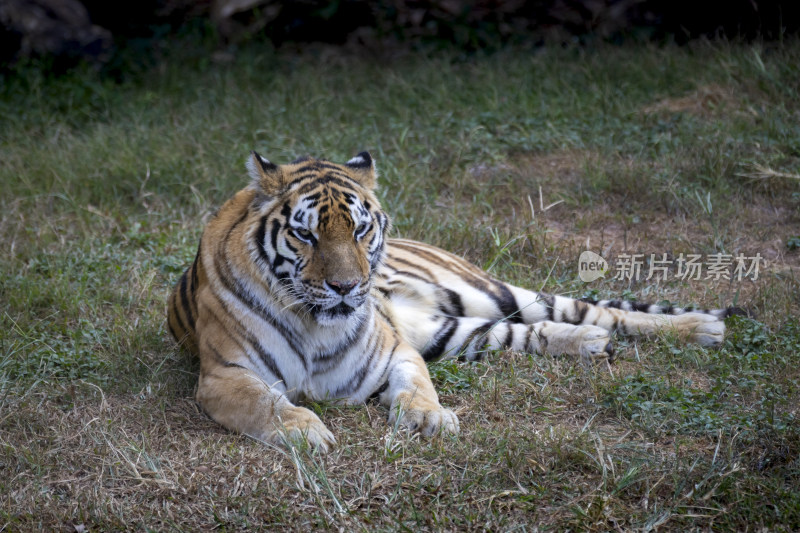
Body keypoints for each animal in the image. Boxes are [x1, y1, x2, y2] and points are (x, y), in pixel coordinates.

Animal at [169, 152, 736, 450]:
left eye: (359, 229)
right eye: (305, 235)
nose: (347, 288)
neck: (316, 325)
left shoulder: (395, 352)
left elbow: (419, 387)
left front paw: (431, 418)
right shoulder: (225, 376)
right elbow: (265, 403)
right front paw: (308, 431)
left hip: (487, 293)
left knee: (592, 309)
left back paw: (703, 328)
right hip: (452, 332)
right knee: (529, 332)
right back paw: (591, 344)